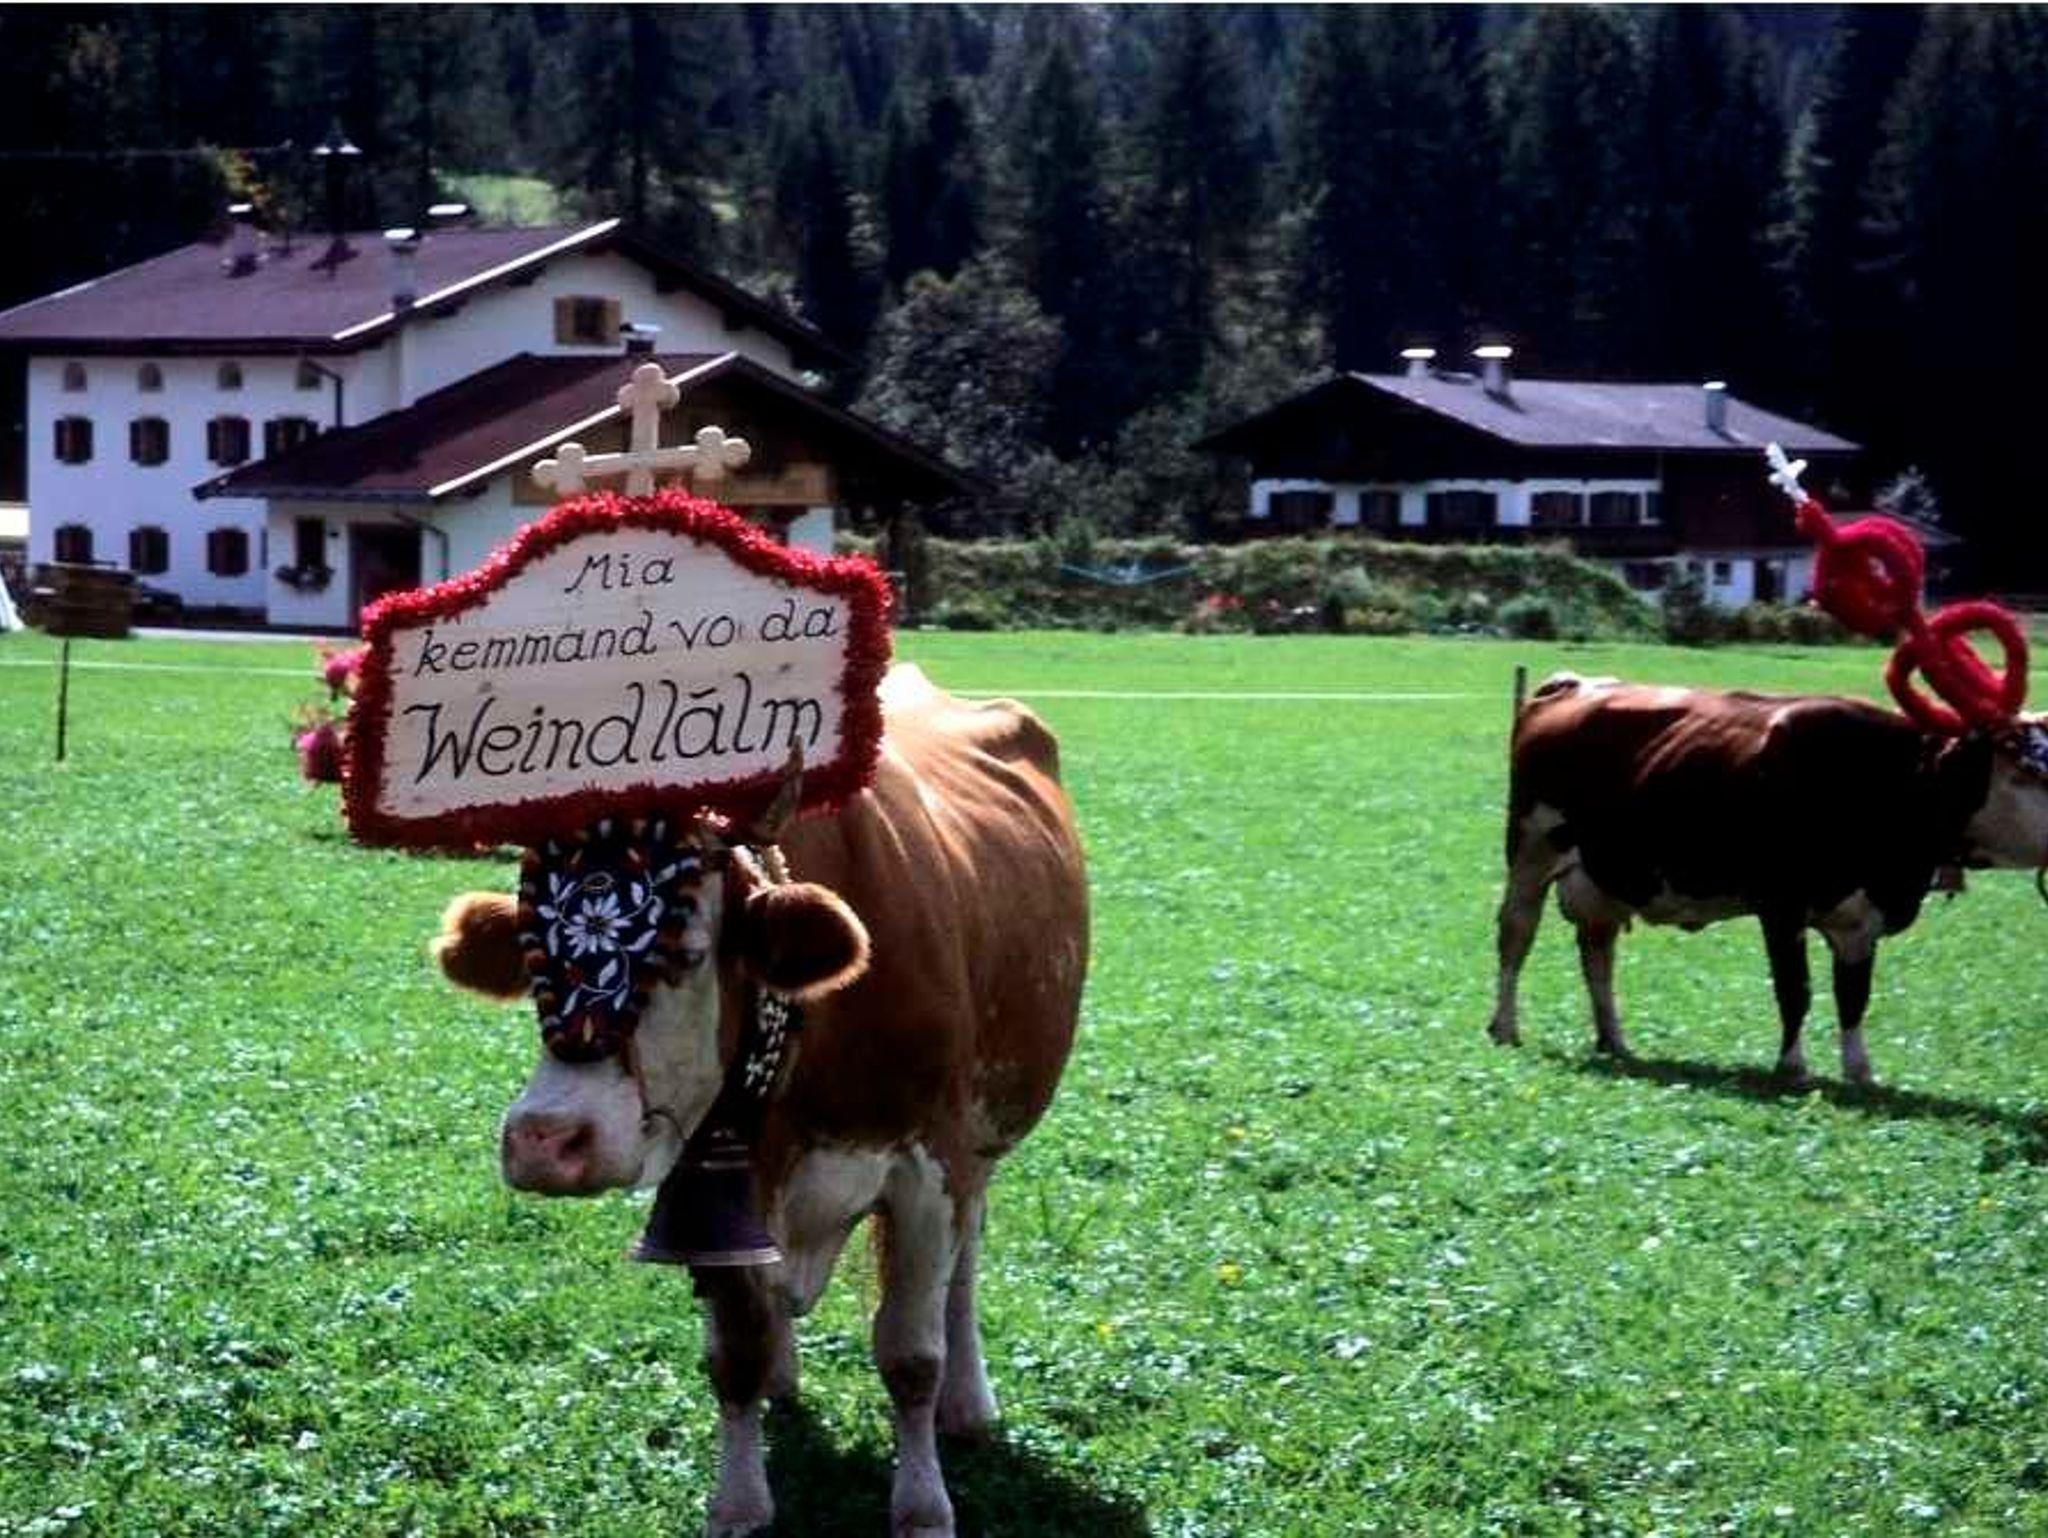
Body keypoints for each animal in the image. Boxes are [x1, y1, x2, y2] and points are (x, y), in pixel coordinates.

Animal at [430, 665, 1089, 1538]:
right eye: (533, 961)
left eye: (684, 953)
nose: (545, 1138)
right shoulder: (715, 1172)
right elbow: (734, 1352)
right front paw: (739, 1502)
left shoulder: (929, 1165)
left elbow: (910, 1355)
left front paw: (922, 1505)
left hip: (984, 1139)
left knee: (966, 1263)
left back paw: (968, 1402)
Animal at [1489, 673, 2048, 1084]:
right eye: (2026, 765)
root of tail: (1570, 685)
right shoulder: (1781, 905)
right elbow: (1795, 988)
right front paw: (1793, 1066)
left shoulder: (1859, 920)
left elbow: (1853, 995)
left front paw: (1859, 1070)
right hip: (1532, 848)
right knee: (1517, 932)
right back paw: (1506, 1027)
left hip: (1602, 878)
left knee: (1597, 954)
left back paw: (1615, 1040)